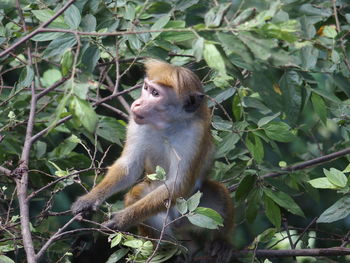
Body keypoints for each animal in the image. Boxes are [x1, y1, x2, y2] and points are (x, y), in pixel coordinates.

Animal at [71, 59, 235, 263]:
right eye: (146, 88)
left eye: (156, 94)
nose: (137, 103)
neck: (168, 125)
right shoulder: (136, 123)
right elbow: (128, 167)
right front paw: (89, 199)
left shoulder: (195, 134)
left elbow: (179, 184)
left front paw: (121, 219)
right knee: (137, 194)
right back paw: (168, 250)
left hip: (193, 211)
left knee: (218, 192)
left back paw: (221, 243)